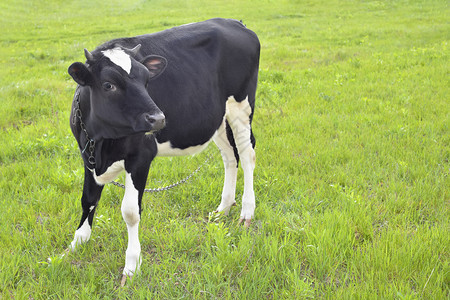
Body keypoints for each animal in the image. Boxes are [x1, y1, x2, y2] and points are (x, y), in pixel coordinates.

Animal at [67, 18, 260, 284]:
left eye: (146, 81)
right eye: (108, 85)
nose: (157, 118)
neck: (102, 141)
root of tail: (235, 22)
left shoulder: (140, 158)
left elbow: (130, 211)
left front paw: (131, 266)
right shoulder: (87, 156)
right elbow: (88, 199)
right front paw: (76, 244)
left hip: (241, 105)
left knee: (247, 152)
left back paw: (246, 211)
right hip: (218, 118)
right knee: (230, 156)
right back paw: (223, 209)